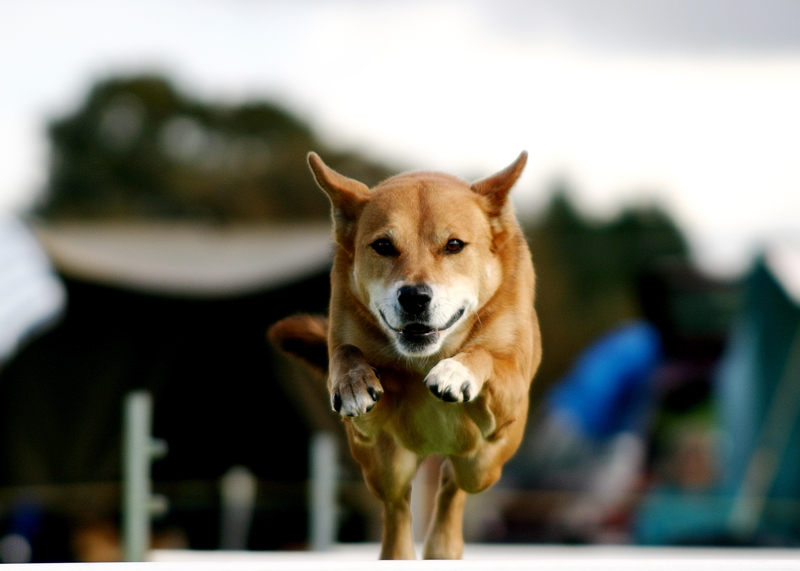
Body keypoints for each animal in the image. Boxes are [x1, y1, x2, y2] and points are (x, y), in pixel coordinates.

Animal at [270, 151, 544, 560]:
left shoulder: (507, 398)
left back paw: (443, 544)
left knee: (452, 482)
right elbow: (347, 352)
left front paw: (457, 372)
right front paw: (353, 383)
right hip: (386, 467)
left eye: (454, 245)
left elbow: (483, 354)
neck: (426, 357)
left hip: (484, 464)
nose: (414, 297)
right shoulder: (366, 424)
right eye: (383, 245)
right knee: (397, 506)